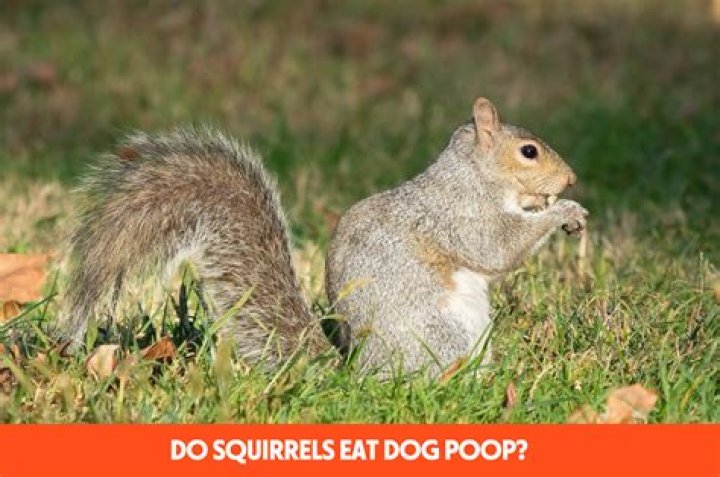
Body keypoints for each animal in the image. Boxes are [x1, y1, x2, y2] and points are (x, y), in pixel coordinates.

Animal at [58, 97, 587, 375]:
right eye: (529, 151)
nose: (572, 178)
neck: (472, 175)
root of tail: (362, 376)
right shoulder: (458, 215)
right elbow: (496, 247)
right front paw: (562, 212)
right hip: (444, 335)